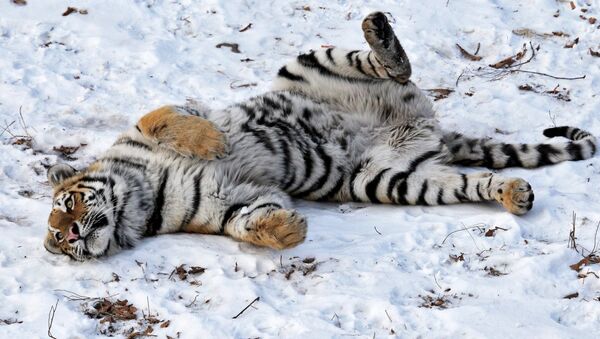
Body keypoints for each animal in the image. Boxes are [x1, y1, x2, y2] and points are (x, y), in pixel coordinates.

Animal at [43, 11, 596, 262]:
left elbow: (161, 117)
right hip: (394, 179)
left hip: (307, 65)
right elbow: (244, 222)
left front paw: (212, 144)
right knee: (471, 182)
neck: (142, 199)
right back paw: (514, 194)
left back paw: (378, 30)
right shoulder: (228, 200)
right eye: (57, 242)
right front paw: (288, 231)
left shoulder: (157, 123)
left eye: (66, 206)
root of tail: (428, 129)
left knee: (391, 64)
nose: (67, 237)